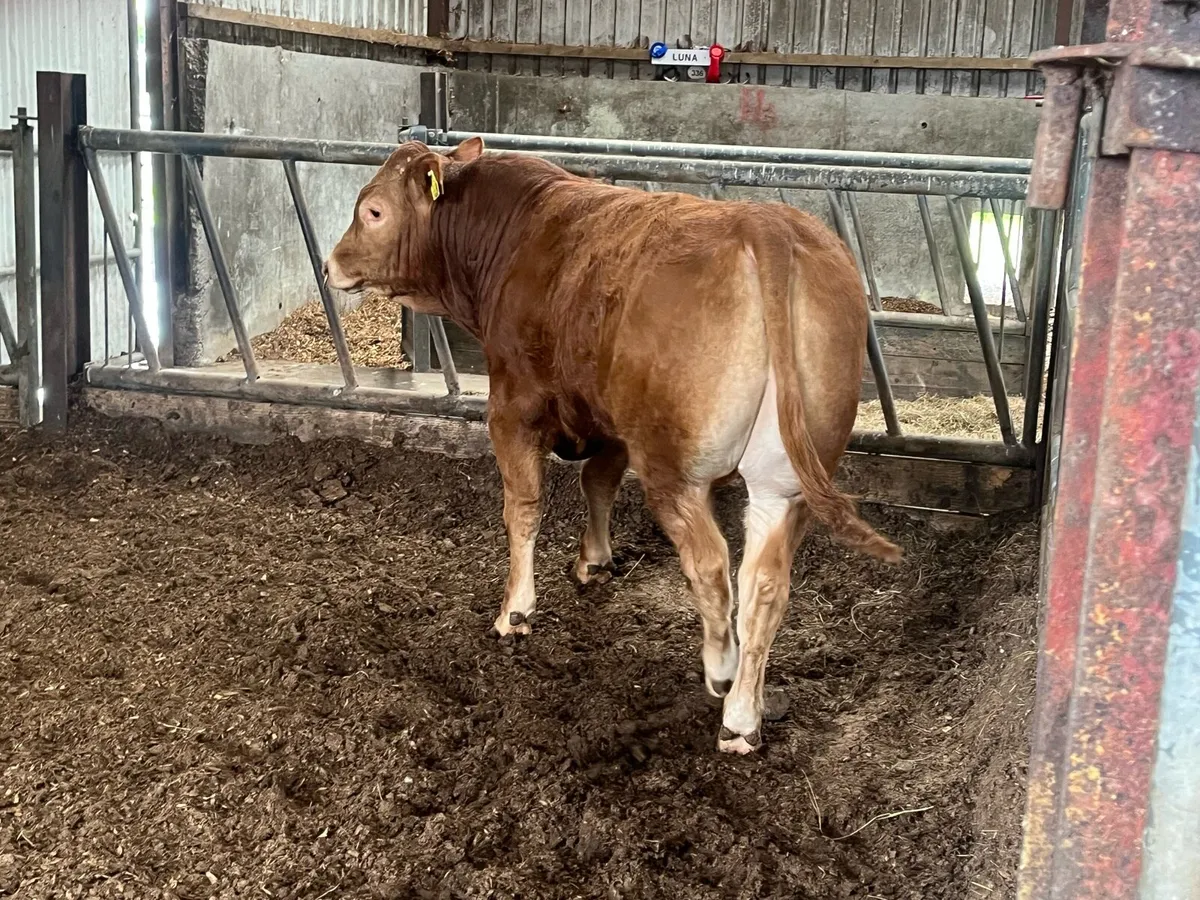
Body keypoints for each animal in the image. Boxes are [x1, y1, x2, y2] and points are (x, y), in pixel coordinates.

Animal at [323, 137, 902, 754]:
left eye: (373, 211)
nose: (330, 264)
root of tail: (765, 223)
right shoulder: (609, 419)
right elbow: (596, 482)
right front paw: (594, 560)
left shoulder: (513, 407)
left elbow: (523, 509)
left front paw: (515, 612)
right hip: (781, 482)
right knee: (764, 585)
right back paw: (743, 719)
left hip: (675, 468)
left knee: (711, 564)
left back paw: (721, 672)